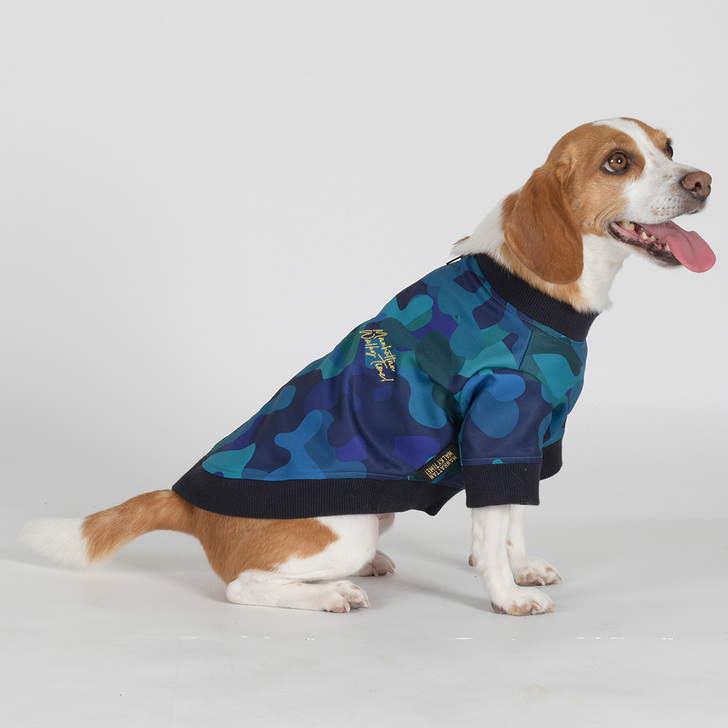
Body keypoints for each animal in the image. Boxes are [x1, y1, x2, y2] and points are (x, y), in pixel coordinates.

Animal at [20, 118, 715, 615]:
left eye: (668, 146)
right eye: (618, 162)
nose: (703, 182)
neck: (533, 291)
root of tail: (190, 505)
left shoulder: (526, 439)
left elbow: (511, 520)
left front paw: (521, 569)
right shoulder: (497, 424)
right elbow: (491, 534)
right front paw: (507, 596)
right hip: (342, 529)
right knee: (243, 587)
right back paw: (332, 592)